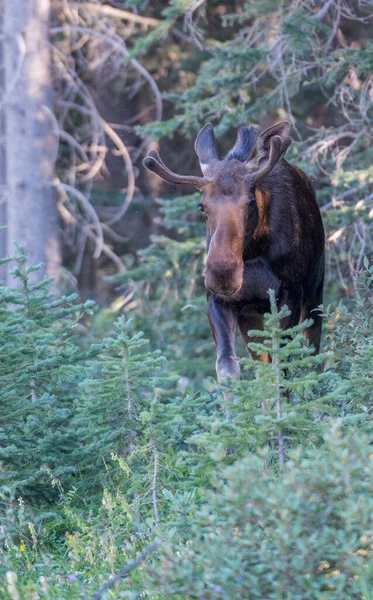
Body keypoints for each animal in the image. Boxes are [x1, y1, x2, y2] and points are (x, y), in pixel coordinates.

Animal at [144, 121, 324, 384]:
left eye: (250, 202)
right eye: (202, 206)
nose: (222, 275)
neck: (254, 254)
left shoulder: (290, 292)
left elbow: (283, 365)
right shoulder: (219, 300)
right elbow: (227, 367)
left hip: (314, 293)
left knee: (312, 354)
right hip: (252, 316)